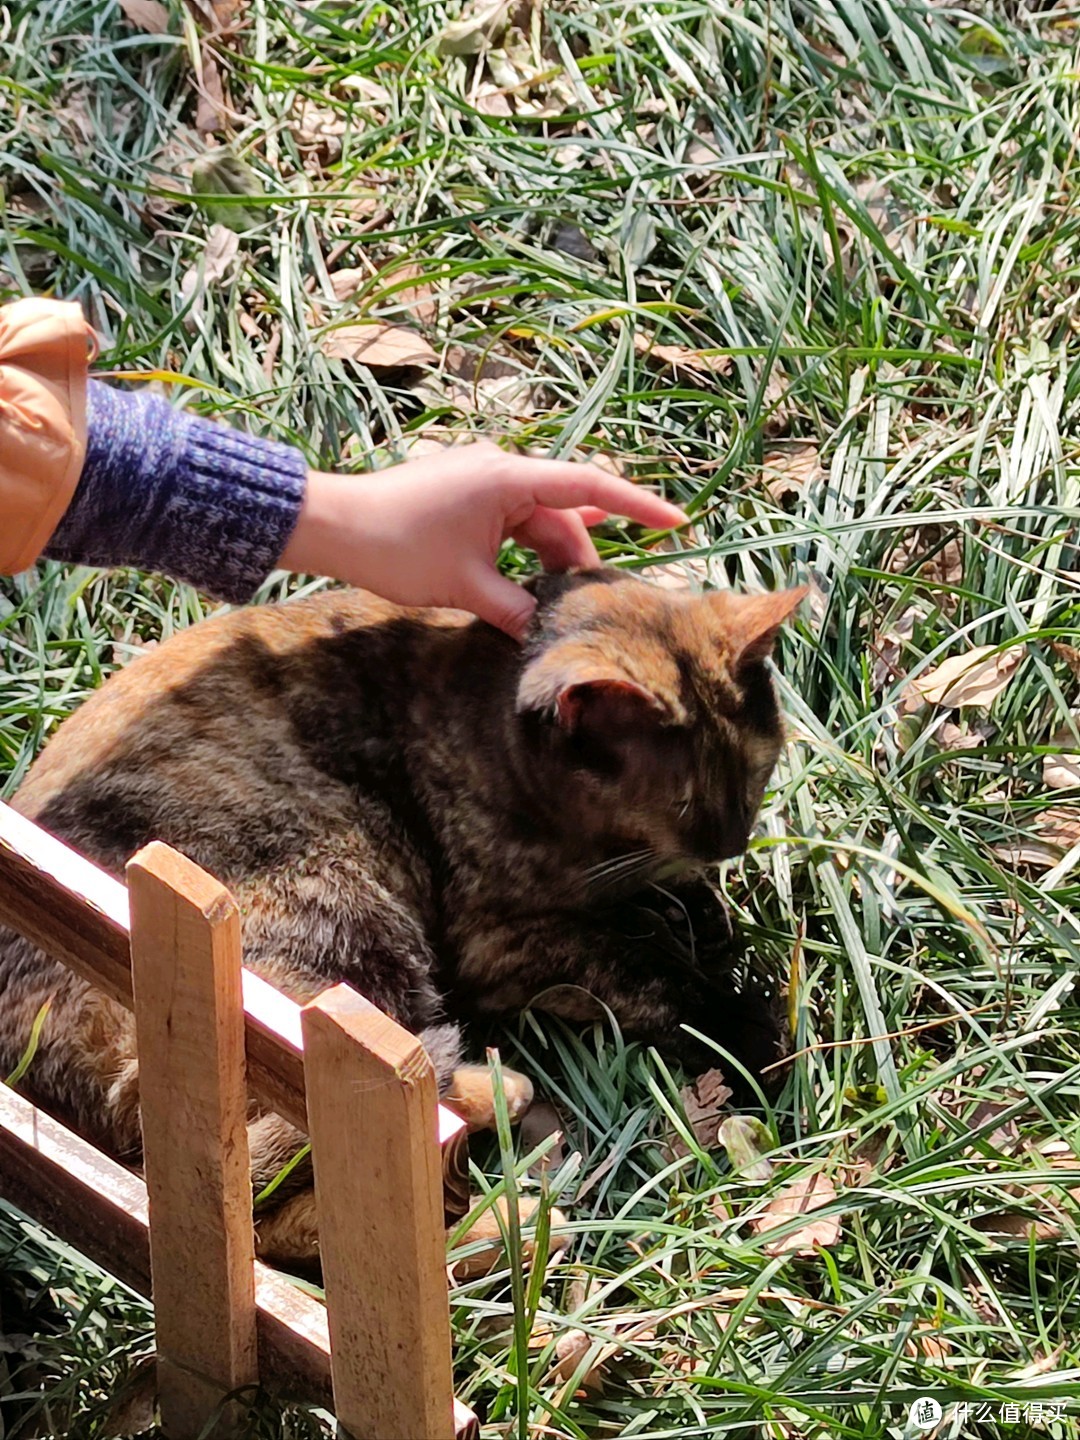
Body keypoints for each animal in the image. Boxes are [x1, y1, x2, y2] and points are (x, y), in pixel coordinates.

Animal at [0, 567, 806, 1267]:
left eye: (755, 775)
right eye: (683, 802)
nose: (731, 841)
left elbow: (686, 920)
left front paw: (703, 915)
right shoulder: (504, 943)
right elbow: (652, 978)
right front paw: (751, 1037)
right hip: (342, 919)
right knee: (277, 1216)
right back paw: (512, 1199)